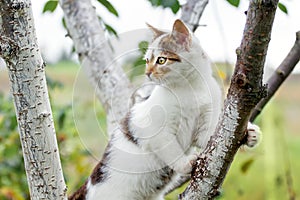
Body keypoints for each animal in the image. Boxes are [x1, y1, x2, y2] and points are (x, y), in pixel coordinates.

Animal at [68, 19, 260, 200]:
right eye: (147, 60)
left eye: (161, 60)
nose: (147, 73)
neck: (190, 88)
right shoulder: (155, 132)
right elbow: (171, 149)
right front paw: (185, 163)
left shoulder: (206, 124)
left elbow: (212, 138)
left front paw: (250, 133)